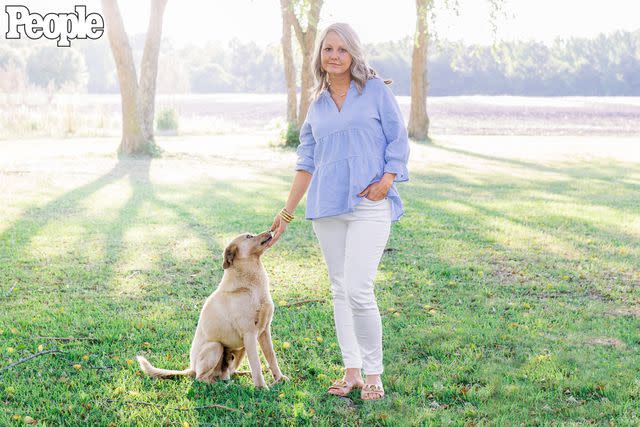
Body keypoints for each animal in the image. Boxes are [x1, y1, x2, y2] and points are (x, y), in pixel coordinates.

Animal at [138, 232, 288, 390]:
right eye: (249, 236)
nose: (270, 232)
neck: (250, 286)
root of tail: (191, 368)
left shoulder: (264, 331)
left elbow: (271, 357)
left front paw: (279, 378)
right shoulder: (249, 334)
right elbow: (256, 364)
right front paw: (261, 388)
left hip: (241, 349)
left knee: (227, 374)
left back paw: (238, 376)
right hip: (215, 347)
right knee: (201, 379)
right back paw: (219, 385)